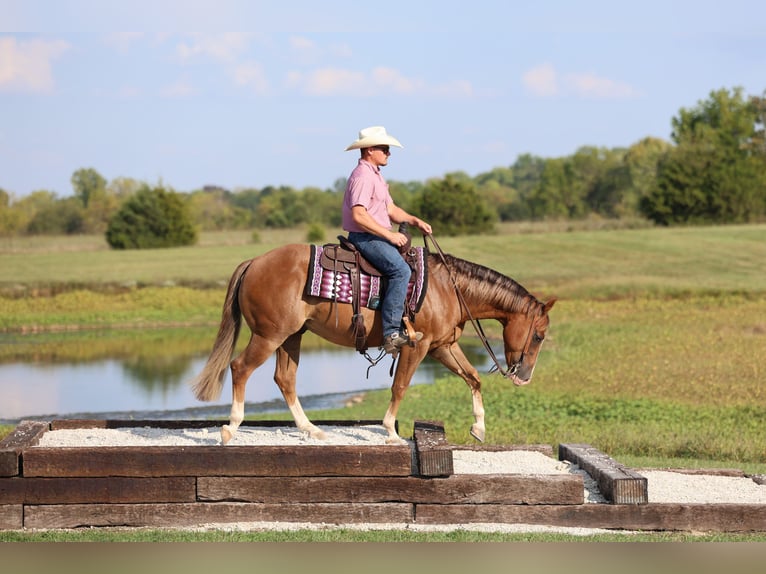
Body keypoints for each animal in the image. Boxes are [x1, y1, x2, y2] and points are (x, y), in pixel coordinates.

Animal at [191, 242, 556, 445]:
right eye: (539, 335)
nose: (524, 377)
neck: (449, 288)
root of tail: (253, 262)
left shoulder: (443, 347)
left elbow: (474, 378)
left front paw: (478, 427)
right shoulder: (417, 346)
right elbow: (400, 386)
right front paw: (391, 431)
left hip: (291, 336)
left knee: (285, 379)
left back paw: (311, 430)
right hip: (269, 336)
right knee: (240, 367)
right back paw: (231, 428)